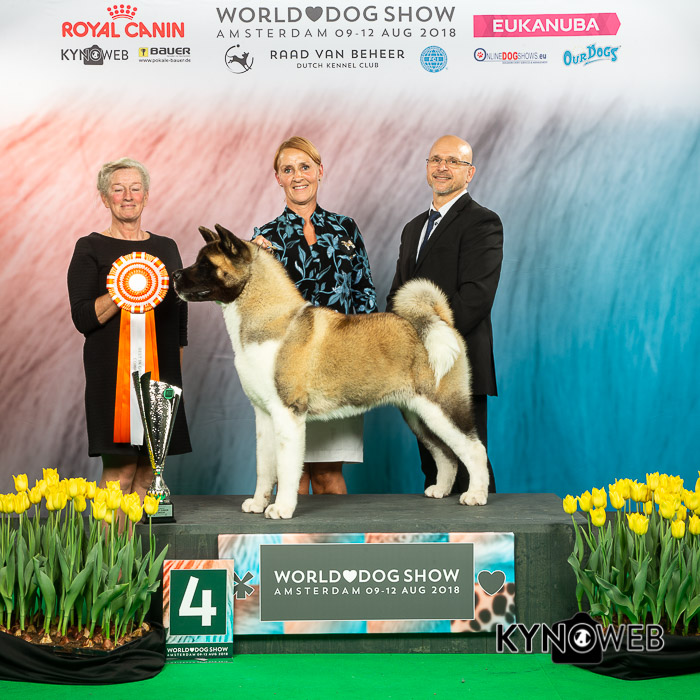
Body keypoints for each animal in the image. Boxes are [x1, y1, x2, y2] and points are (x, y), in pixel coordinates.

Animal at [172, 224, 489, 519]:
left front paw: (281, 508)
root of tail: (441, 321)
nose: (174, 275)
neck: (270, 319)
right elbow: (265, 467)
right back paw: (441, 490)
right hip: (419, 415)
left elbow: (286, 468)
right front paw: (259, 503)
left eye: (205, 264)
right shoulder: (263, 415)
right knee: (446, 454)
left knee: (474, 450)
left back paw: (476, 495)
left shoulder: (288, 413)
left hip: (442, 408)